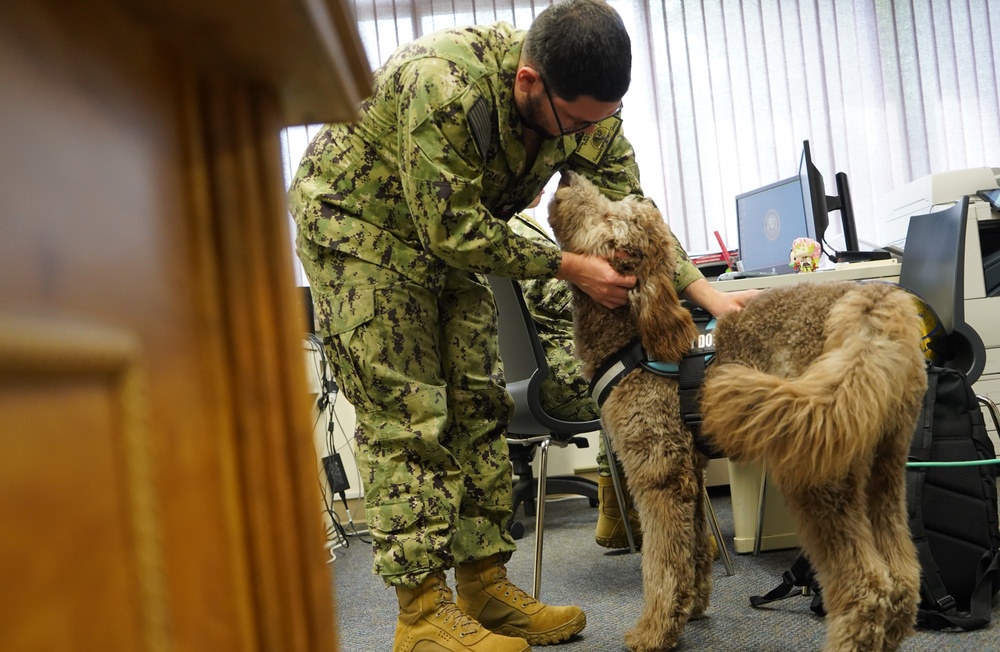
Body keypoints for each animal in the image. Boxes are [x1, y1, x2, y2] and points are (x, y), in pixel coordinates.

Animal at [548, 172, 928, 652]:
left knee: (868, 586)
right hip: (885, 463)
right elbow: (692, 547)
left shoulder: (658, 473)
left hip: (817, 469)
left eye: (607, 214)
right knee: (902, 579)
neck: (635, 335)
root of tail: (872, 303)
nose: (567, 174)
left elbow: (661, 561)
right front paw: (690, 608)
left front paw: (654, 630)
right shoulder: (688, 469)